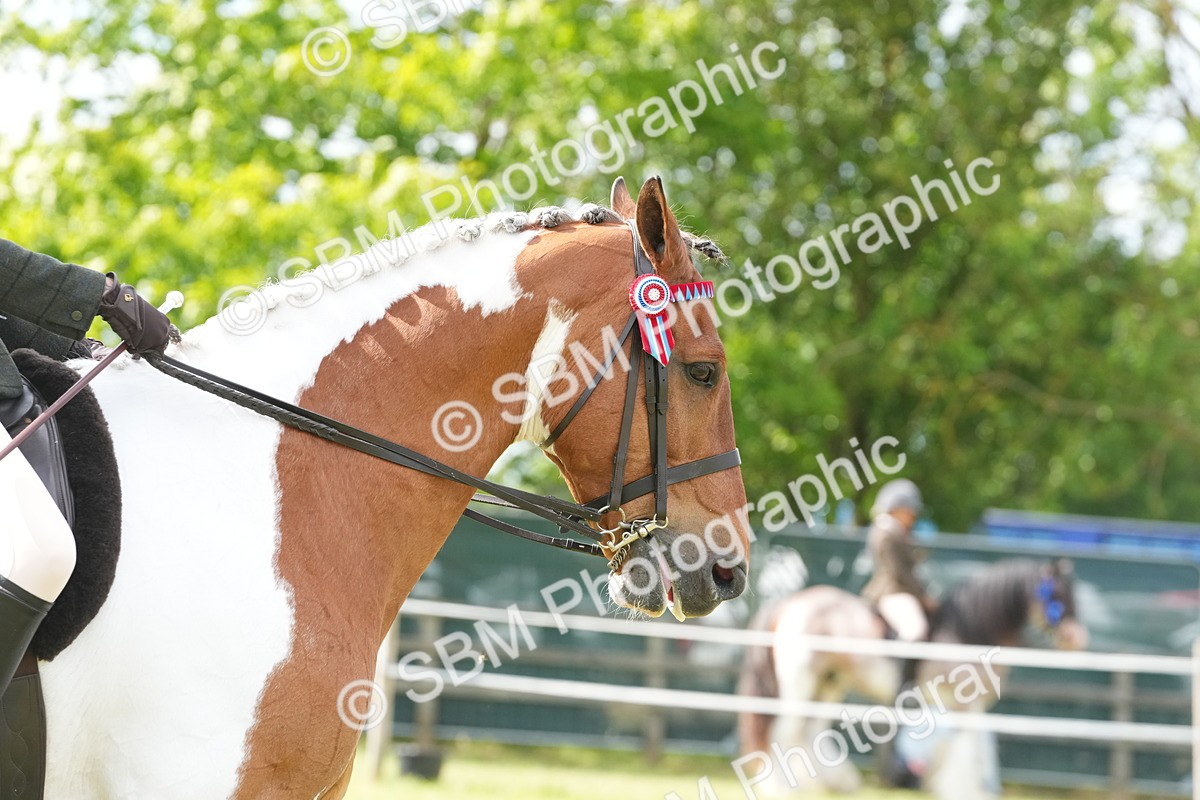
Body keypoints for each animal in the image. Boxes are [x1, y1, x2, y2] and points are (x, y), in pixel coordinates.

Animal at [737, 558, 1087, 798]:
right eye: (1057, 595)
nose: (1076, 639)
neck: (965, 632)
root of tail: (789, 602)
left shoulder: (971, 709)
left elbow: (973, 750)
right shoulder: (964, 706)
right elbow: (967, 752)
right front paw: (964, 790)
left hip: (828, 683)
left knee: (807, 732)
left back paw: (835, 783)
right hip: (801, 682)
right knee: (783, 731)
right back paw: (779, 788)